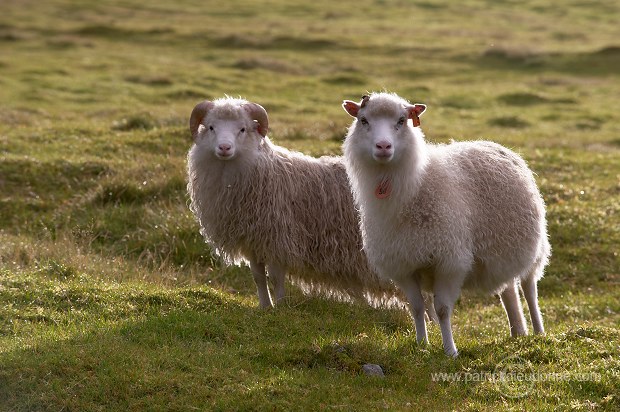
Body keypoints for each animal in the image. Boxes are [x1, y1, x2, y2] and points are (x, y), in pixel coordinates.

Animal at [184, 96, 402, 308]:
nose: (224, 148)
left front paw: (280, 307)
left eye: (242, 129)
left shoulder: (278, 238)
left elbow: (275, 278)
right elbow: (258, 277)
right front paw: (265, 307)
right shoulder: (253, 241)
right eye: (211, 127)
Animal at [342, 91, 548, 356]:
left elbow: (441, 310)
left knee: (529, 288)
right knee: (509, 289)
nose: (383, 146)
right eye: (363, 120)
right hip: (500, 253)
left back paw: (539, 332)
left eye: (401, 121)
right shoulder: (403, 265)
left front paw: (450, 351)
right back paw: (517, 332)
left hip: (535, 249)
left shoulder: (449, 262)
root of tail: (493, 144)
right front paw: (421, 344)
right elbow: (417, 307)